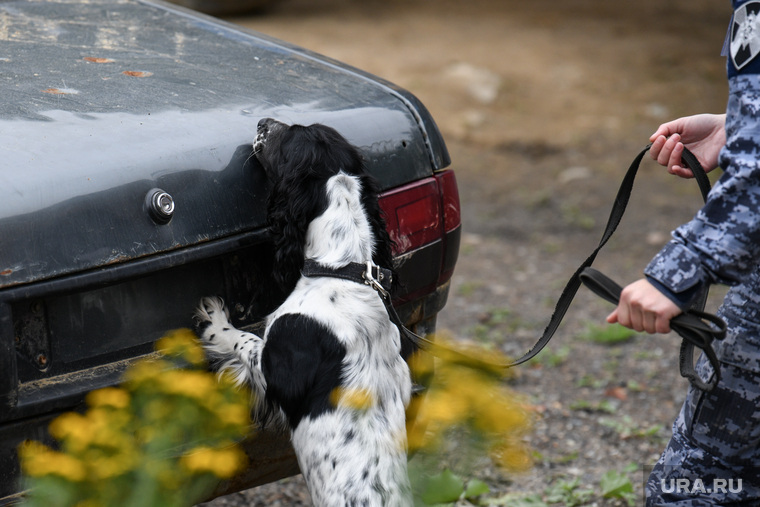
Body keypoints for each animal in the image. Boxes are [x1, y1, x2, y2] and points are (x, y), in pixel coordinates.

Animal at [193, 120, 412, 507]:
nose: (263, 122)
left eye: (290, 134)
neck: (340, 270)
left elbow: (245, 340)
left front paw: (215, 321)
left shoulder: (274, 366)